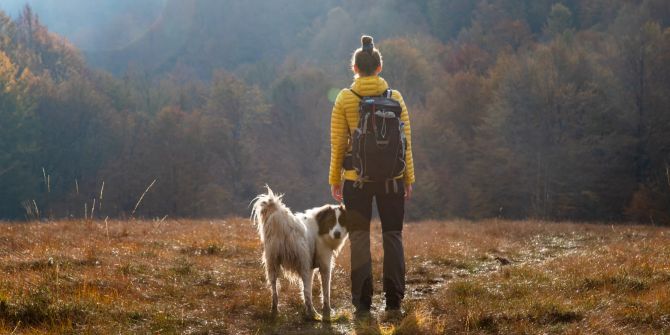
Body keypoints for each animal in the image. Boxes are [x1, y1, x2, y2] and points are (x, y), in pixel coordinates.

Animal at [252, 188, 352, 322]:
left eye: (342, 221)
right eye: (331, 221)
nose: (337, 234)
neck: (320, 227)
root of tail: (286, 227)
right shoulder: (324, 265)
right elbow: (326, 291)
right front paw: (327, 310)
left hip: (272, 263)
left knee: (274, 290)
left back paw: (275, 310)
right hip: (305, 265)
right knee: (306, 291)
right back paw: (312, 313)